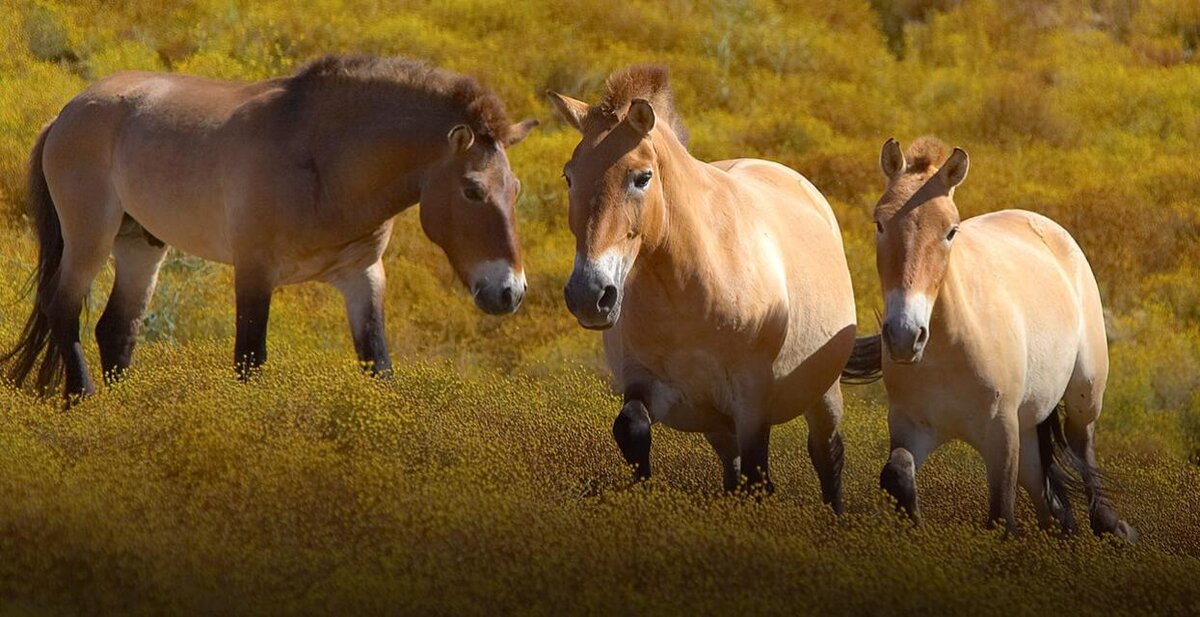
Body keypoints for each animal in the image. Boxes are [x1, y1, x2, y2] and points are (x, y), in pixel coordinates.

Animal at [0, 54, 535, 398]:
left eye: (515, 190)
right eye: (472, 190)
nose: (508, 292)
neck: (323, 156)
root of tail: (67, 112)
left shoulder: (362, 276)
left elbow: (378, 366)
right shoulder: (255, 271)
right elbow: (249, 360)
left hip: (141, 246)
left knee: (117, 330)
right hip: (90, 238)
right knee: (63, 307)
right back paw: (83, 399)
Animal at [549, 66, 859, 508]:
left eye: (642, 178)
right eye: (569, 176)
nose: (589, 296)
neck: (689, 293)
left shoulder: (752, 401)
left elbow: (759, 477)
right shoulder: (646, 382)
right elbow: (631, 430)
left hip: (822, 393)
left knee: (827, 455)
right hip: (717, 424)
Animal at [864, 135, 1132, 537]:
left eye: (950, 231)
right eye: (880, 223)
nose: (904, 336)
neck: (950, 351)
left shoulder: (1001, 436)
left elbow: (1000, 514)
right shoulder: (908, 426)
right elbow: (897, 473)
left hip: (1084, 394)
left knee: (1083, 447)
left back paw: (1107, 525)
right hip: (1029, 425)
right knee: (1046, 495)